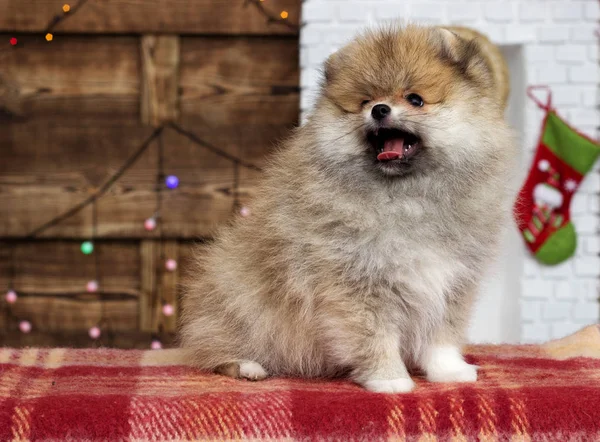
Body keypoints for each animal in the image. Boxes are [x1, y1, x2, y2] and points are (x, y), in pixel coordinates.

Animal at [178, 24, 516, 392]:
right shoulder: (357, 282)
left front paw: (449, 371)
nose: (379, 109)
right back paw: (246, 365)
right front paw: (389, 378)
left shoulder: (452, 281)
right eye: (365, 101)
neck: (407, 197)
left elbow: (441, 335)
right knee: (214, 347)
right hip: (239, 302)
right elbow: (375, 336)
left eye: (415, 99)